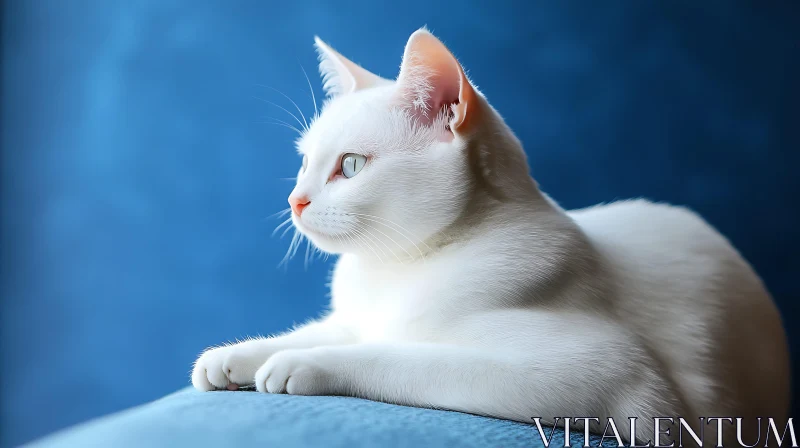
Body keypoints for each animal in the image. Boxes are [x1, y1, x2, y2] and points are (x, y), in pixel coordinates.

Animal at [192, 28, 788, 444]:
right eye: (303, 164)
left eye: (352, 166)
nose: (296, 200)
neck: (396, 271)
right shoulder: (357, 319)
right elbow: (329, 331)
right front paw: (234, 357)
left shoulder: (610, 378)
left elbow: (395, 357)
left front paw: (297, 364)